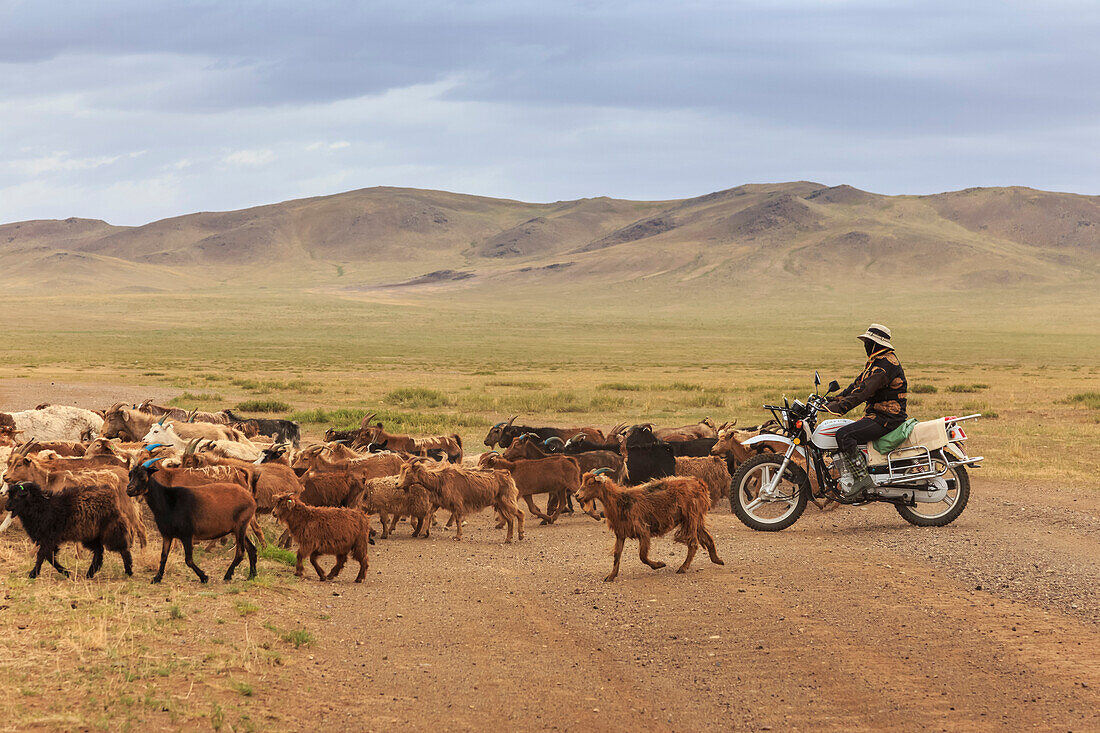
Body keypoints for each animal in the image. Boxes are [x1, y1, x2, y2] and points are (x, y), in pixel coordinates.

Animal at [0, 479, 132, 576]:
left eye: (17, 496)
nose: (6, 506)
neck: (43, 508)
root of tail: (110, 494)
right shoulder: (47, 539)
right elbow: (49, 557)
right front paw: (65, 572)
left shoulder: (49, 537)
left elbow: (42, 555)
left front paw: (33, 574)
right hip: (90, 534)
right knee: (99, 550)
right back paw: (90, 573)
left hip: (111, 528)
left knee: (122, 548)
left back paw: (128, 570)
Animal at [127, 457, 256, 581]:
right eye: (130, 475)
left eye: (143, 476)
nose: (129, 489)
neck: (168, 501)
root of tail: (250, 498)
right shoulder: (167, 535)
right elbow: (163, 556)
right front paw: (157, 578)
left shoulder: (187, 534)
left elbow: (188, 560)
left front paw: (204, 577)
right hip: (238, 528)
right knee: (251, 548)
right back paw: (251, 575)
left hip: (240, 525)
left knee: (240, 552)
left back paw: (228, 575)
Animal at [572, 468, 726, 581]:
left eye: (591, 483)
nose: (577, 496)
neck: (621, 500)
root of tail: (699, 483)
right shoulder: (621, 533)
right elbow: (617, 555)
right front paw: (611, 576)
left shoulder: (643, 531)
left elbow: (643, 556)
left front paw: (659, 565)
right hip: (695, 518)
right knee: (707, 538)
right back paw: (717, 560)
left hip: (691, 517)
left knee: (693, 543)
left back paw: (683, 568)